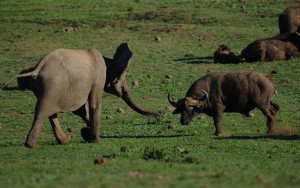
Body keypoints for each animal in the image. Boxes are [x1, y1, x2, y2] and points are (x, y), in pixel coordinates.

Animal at [2, 43, 157, 148]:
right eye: (123, 77)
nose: (157, 114)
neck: (109, 60)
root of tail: (37, 69)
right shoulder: (98, 77)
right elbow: (94, 104)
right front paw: (97, 140)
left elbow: (81, 110)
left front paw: (87, 133)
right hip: (52, 85)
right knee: (43, 110)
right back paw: (31, 145)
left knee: (50, 112)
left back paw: (64, 141)